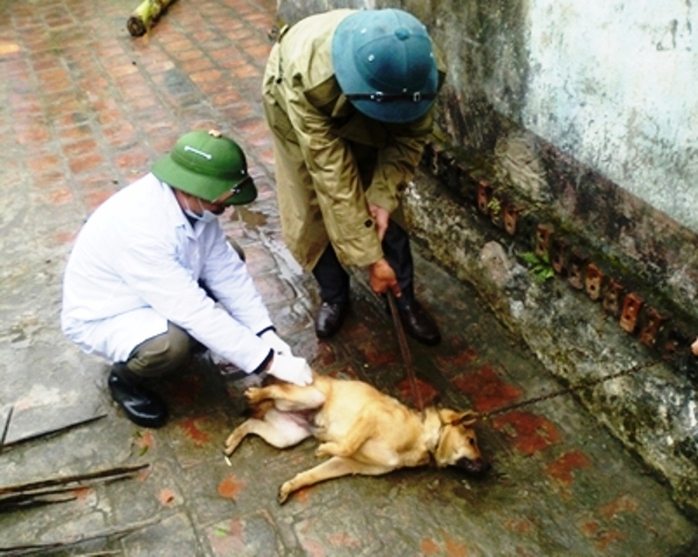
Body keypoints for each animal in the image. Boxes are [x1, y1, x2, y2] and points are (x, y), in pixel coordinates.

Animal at [226, 372, 486, 502]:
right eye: (471, 441)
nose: (488, 467)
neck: (422, 437)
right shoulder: (372, 414)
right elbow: (347, 445)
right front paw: (325, 448)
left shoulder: (349, 465)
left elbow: (313, 474)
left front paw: (292, 486)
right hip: (310, 396)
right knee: (272, 390)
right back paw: (255, 393)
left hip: (285, 436)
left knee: (251, 424)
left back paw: (231, 442)